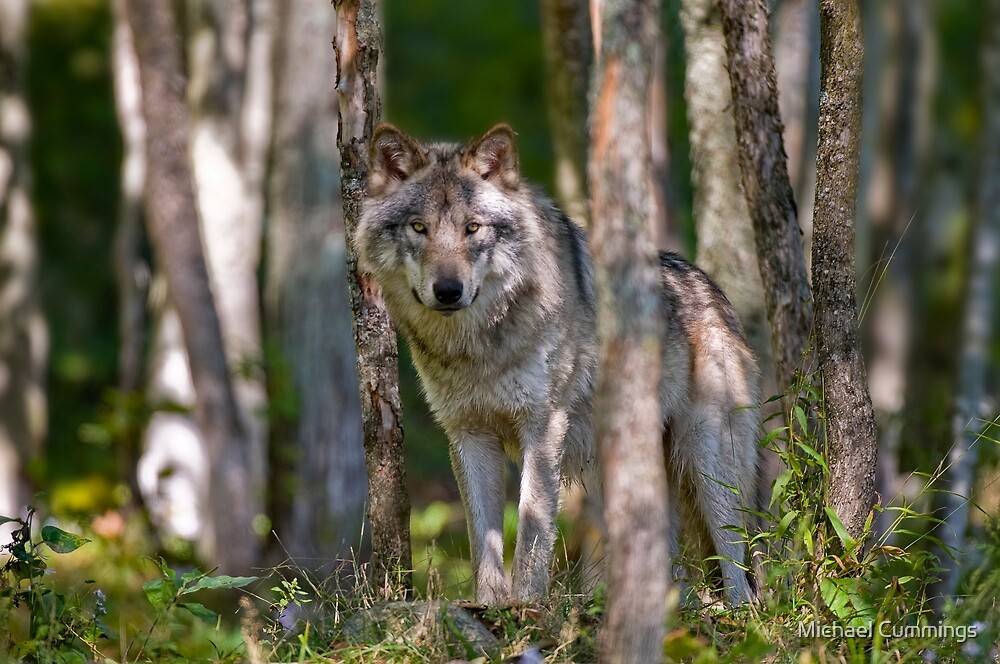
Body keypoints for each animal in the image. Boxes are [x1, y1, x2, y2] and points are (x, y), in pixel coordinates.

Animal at [356, 122, 760, 604]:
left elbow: (532, 529)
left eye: (473, 228)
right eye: (420, 228)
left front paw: (528, 605)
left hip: (708, 462)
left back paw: (738, 611)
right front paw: (491, 606)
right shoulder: (469, 435)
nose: (449, 291)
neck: (479, 347)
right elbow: (483, 540)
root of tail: (713, 291)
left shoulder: (544, 427)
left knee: (737, 560)